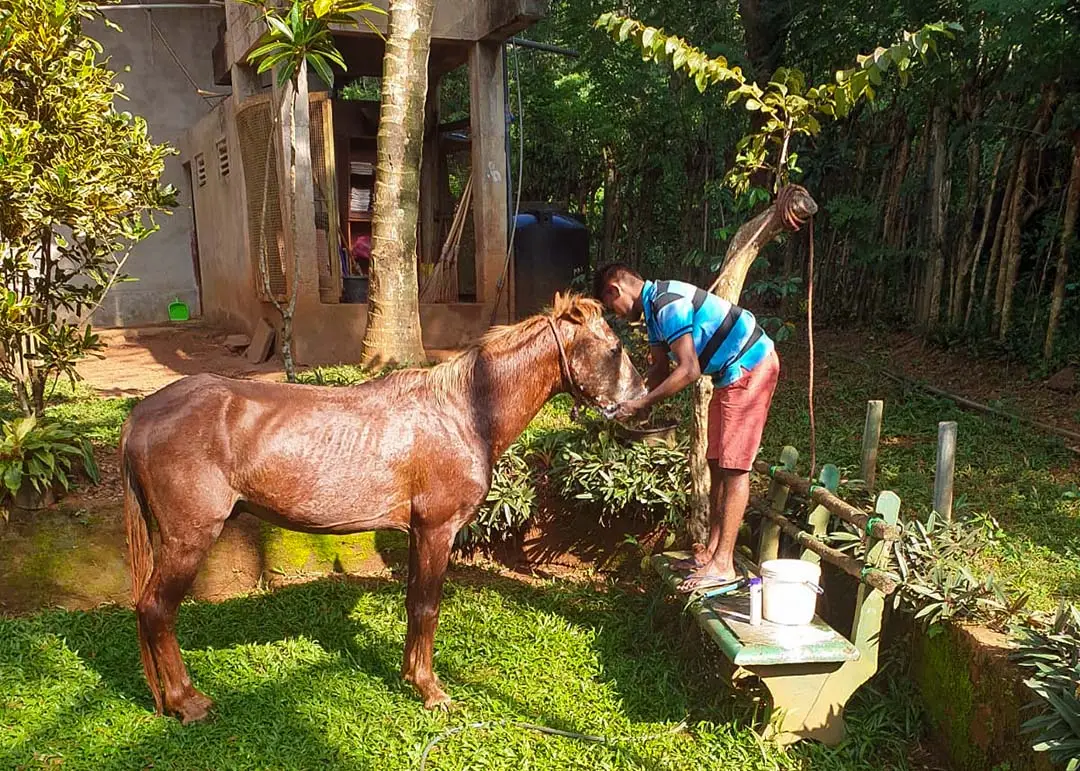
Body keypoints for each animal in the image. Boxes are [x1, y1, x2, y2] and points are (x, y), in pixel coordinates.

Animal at [120, 293, 646, 723]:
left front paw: (412, 677)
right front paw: (431, 690)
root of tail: (142, 415)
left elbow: (414, 602)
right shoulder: (437, 529)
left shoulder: (419, 532)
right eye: (614, 349)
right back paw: (187, 702)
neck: (461, 411)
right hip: (189, 538)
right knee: (156, 609)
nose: (642, 399)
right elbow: (427, 606)